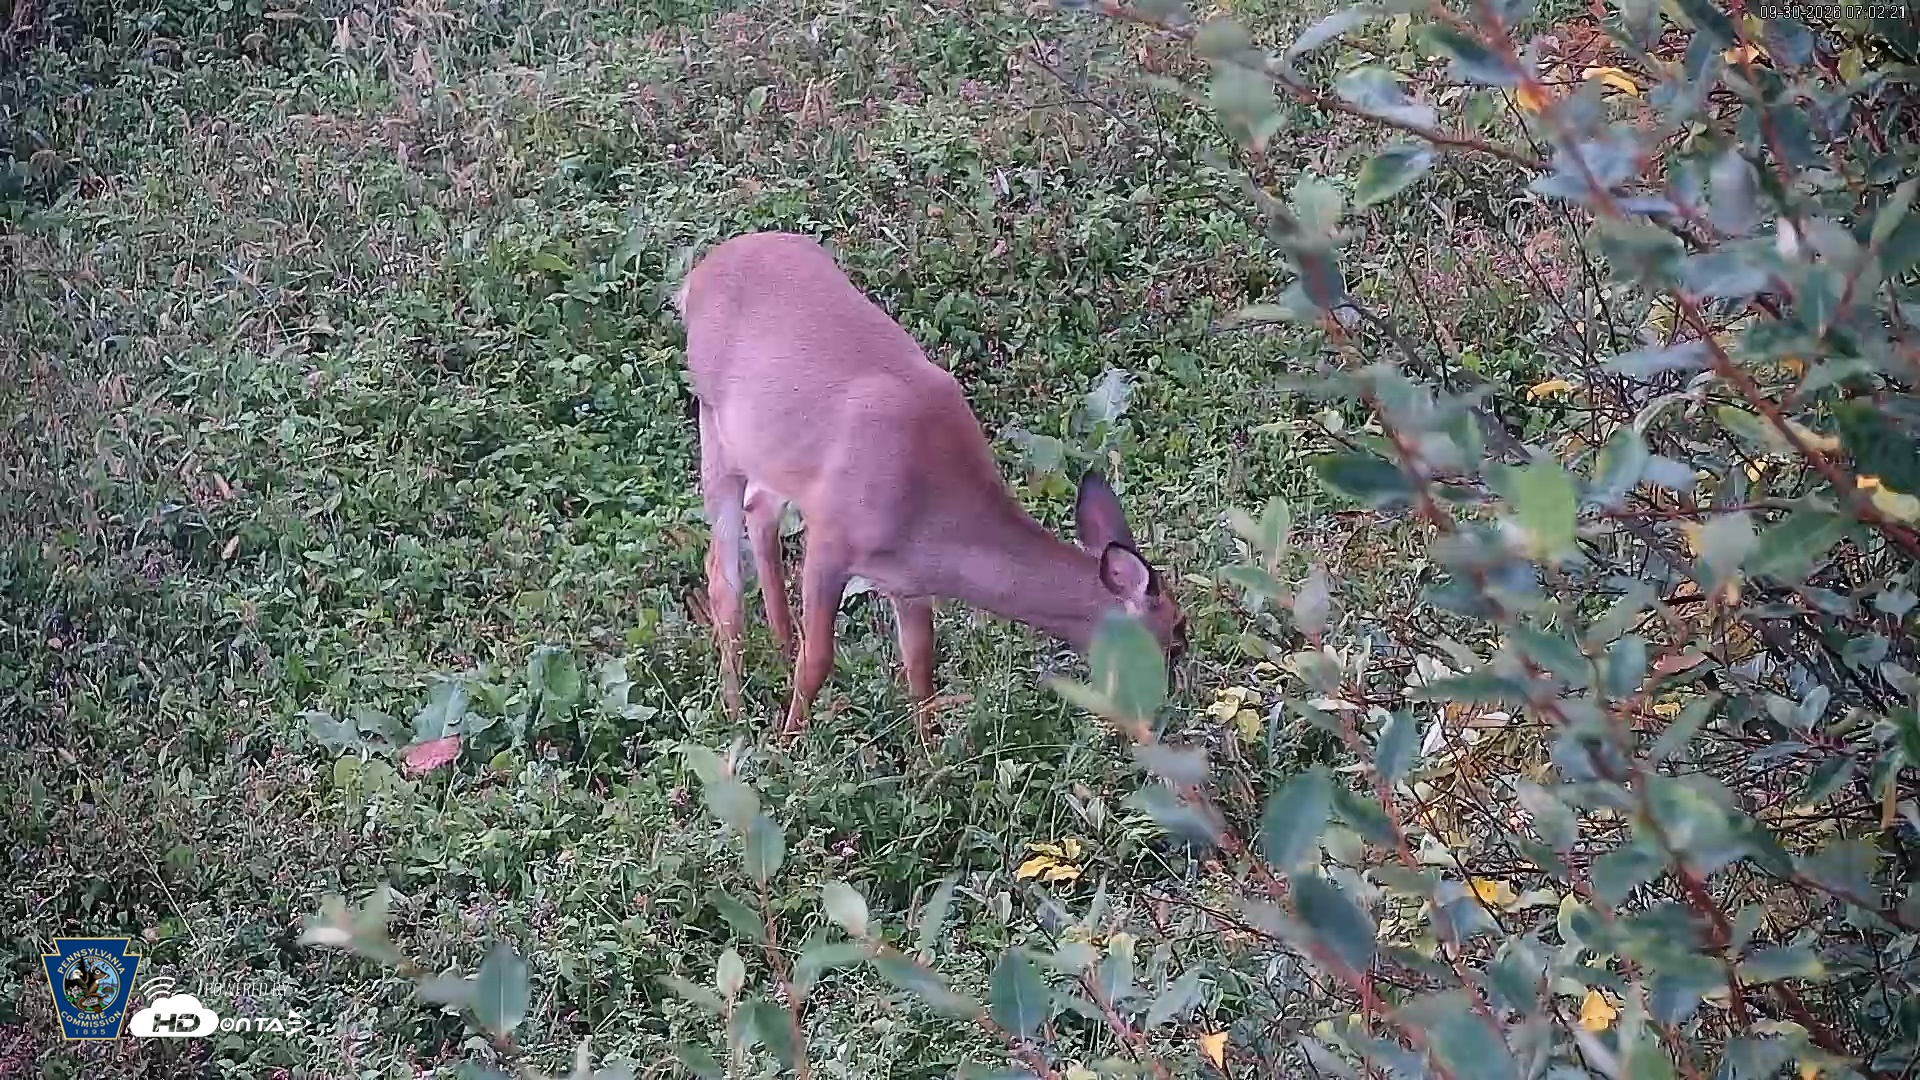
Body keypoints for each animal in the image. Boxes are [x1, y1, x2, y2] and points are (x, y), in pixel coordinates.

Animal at [675, 231, 1186, 743]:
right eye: (1174, 638)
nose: (1159, 719)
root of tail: (697, 277)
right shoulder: (830, 541)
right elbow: (818, 657)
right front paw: (789, 744)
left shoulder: (909, 583)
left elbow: (921, 665)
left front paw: (930, 753)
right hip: (715, 424)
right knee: (721, 574)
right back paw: (736, 715)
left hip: (769, 450)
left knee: (760, 510)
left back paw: (778, 650)